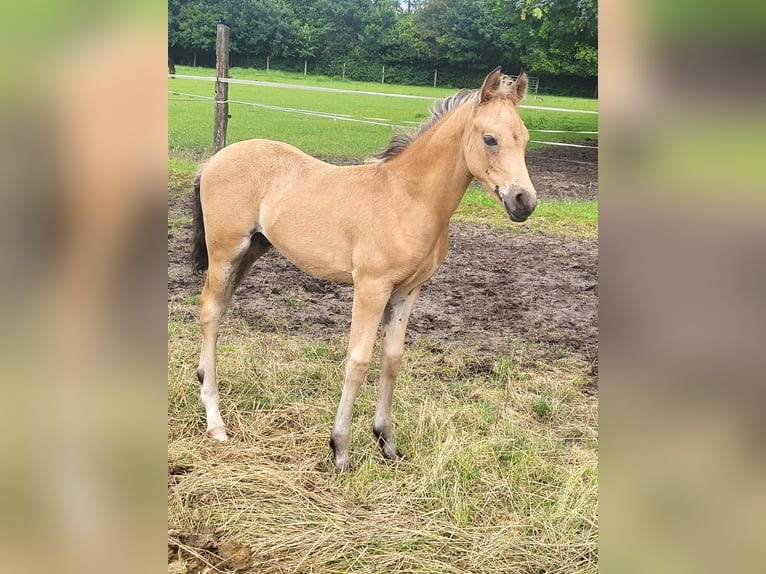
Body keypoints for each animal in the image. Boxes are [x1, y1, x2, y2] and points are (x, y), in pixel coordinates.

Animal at [191, 67, 536, 472]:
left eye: (525, 138)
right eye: (489, 138)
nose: (524, 202)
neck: (407, 198)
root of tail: (214, 159)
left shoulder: (408, 291)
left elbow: (392, 359)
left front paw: (387, 442)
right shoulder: (371, 287)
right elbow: (359, 360)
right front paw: (340, 449)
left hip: (252, 250)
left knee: (217, 309)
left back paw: (202, 379)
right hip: (226, 251)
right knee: (210, 310)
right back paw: (215, 421)